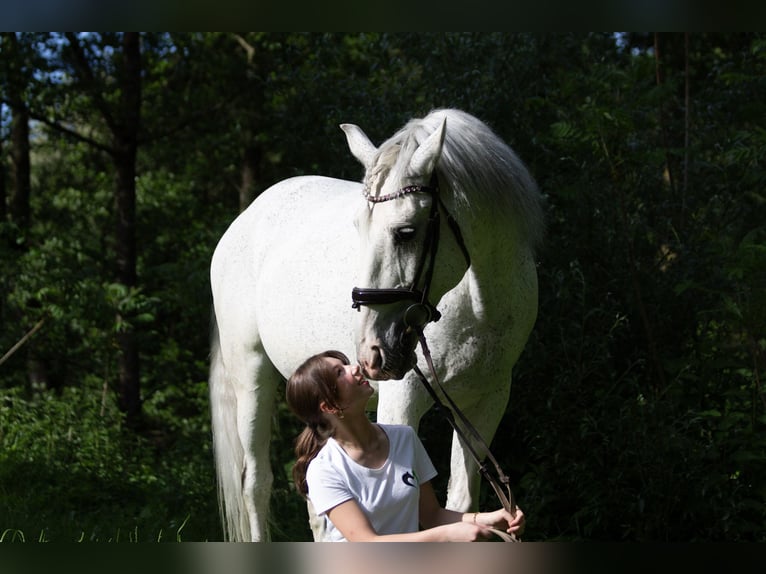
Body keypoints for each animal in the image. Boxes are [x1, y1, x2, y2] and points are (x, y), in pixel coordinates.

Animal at [210, 109, 544, 544]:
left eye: (406, 232)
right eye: (358, 227)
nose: (372, 350)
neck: (479, 305)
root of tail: (246, 218)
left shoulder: (486, 402)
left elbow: (461, 500)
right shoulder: (402, 399)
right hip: (251, 377)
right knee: (256, 483)